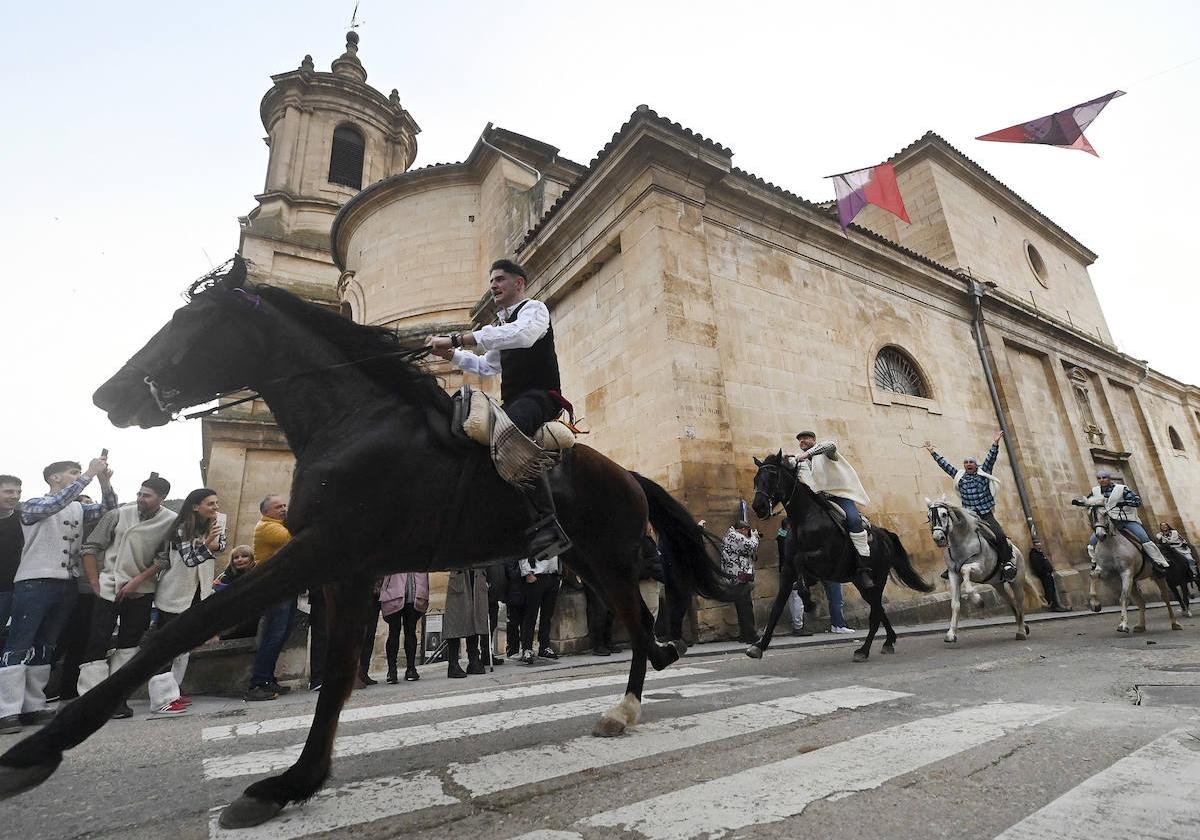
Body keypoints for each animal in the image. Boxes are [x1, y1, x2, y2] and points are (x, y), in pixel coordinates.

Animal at [0, 259, 729, 830]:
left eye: (191, 323)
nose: (109, 395)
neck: (353, 420)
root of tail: (628, 474)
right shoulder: (349, 570)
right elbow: (338, 674)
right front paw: (293, 782)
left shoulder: (320, 550)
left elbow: (183, 629)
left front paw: (34, 753)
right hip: (587, 561)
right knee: (640, 626)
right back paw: (645, 683)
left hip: (608, 560)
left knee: (638, 625)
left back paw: (625, 708)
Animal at [744, 453, 931, 662]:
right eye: (756, 479)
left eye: (773, 476)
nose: (758, 506)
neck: (804, 520)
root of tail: (884, 535)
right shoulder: (787, 571)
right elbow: (776, 608)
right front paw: (759, 646)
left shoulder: (825, 561)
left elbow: (801, 563)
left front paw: (809, 601)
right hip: (863, 584)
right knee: (879, 610)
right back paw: (889, 641)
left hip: (878, 578)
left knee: (875, 614)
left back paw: (864, 650)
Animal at [1075, 499, 1185, 628]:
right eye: (1090, 515)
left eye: (1105, 514)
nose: (1100, 535)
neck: (1111, 545)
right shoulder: (1105, 570)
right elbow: (1093, 575)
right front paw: (1095, 604)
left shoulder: (1126, 572)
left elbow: (1123, 598)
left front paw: (1123, 624)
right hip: (1133, 582)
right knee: (1141, 602)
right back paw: (1140, 626)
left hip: (1158, 577)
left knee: (1166, 598)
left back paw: (1174, 623)